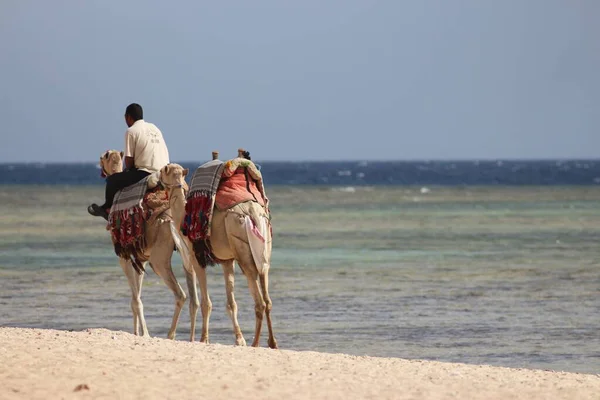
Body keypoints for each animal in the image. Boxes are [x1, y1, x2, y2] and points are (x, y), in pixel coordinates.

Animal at [99, 150, 199, 340]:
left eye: (103, 158)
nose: (100, 162)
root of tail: (170, 219)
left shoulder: (125, 257)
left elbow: (135, 300)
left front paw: (143, 333)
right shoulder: (141, 258)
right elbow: (136, 297)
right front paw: (137, 332)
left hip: (159, 260)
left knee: (181, 294)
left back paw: (170, 335)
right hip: (186, 254)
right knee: (194, 299)